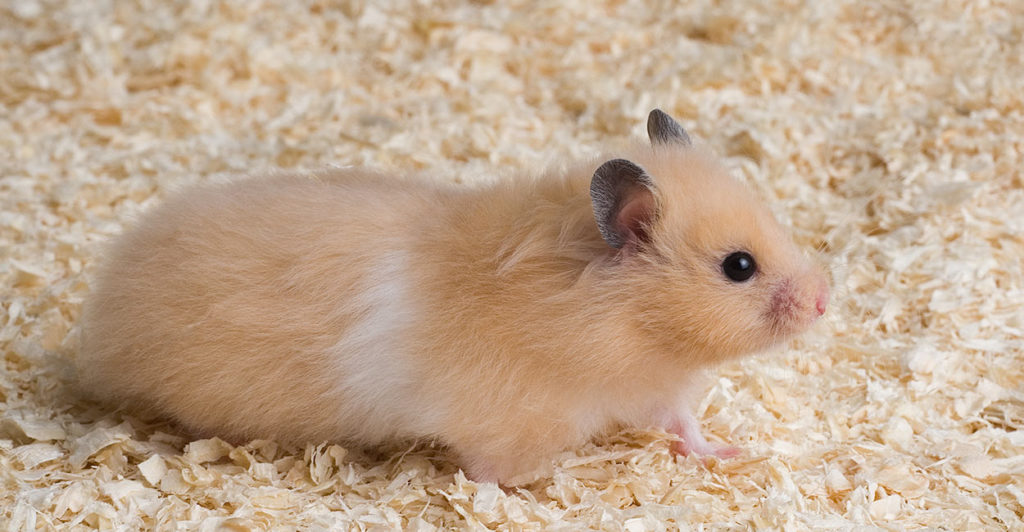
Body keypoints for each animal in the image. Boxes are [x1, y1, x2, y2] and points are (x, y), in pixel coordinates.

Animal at [77, 109, 828, 484]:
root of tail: (101, 308)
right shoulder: (511, 421)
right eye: (738, 266)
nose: (825, 300)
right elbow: (498, 475)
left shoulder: (659, 389)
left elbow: (686, 427)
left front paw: (730, 453)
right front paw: (549, 488)